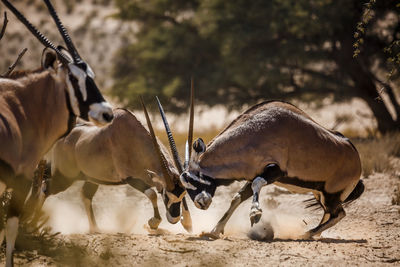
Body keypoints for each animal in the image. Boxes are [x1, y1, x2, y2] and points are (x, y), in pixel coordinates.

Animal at [0, 1, 114, 266]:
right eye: (72, 77)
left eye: (91, 75)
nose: (107, 113)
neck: (22, 103)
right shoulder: (20, 178)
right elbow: (11, 230)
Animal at [32, 103, 192, 233]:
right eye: (166, 195)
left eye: (182, 195)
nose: (174, 218)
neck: (136, 142)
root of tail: (64, 138)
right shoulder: (130, 178)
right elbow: (151, 193)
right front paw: (153, 223)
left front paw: (188, 223)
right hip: (64, 178)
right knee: (46, 188)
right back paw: (33, 224)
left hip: (89, 178)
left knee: (84, 194)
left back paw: (95, 229)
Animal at [159, 99, 362, 241]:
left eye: (194, 177)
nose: (202, 203)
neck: (254, 133)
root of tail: (357, 160)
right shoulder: (253, 175)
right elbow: (237, 198)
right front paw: (214, 231)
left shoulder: (274, 171)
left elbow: (256, 186)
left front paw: (255, 214)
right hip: (319, 194)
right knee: (330, 214)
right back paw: (313, 234)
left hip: (330, 195)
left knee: (339, 214)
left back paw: (305, 234)